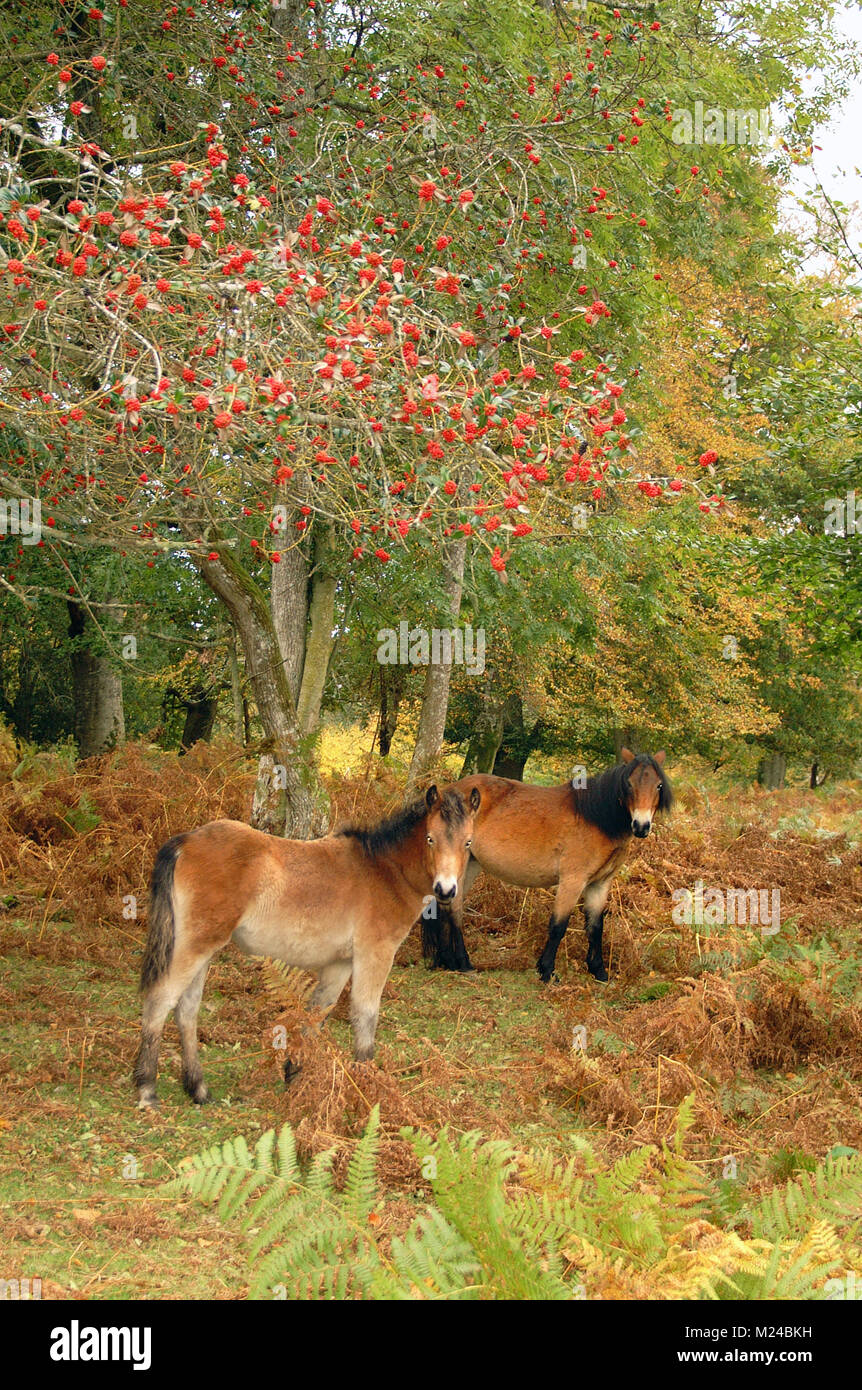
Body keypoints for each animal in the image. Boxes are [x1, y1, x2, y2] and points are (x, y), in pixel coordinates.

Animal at [133, 783, 480, 1108]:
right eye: (430, 839)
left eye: (467, 843)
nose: (446, 890)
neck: (384, 870)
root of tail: (186, 841)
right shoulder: (375, 953)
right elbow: (365, 1016)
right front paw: (367, 1084)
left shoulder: (339, 963)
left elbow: (317, 1014)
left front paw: (296, 1076)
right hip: (194, 946)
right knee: (160, 1000)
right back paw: (147, 1089)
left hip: (203, 949)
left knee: (187, 1010)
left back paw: (198, 1089)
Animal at [422, 749, 671, 982]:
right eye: (628, 784)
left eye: (659, 785)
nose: (641, 826)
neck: (596, 818)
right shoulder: (572, 881)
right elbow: (558, 926)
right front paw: (547, 971)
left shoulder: (600, 884)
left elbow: (595, 927)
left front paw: (599, 971)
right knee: (454, 910)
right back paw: (462, 962)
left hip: (468, 865)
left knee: (447, 907)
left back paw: (448, 960)